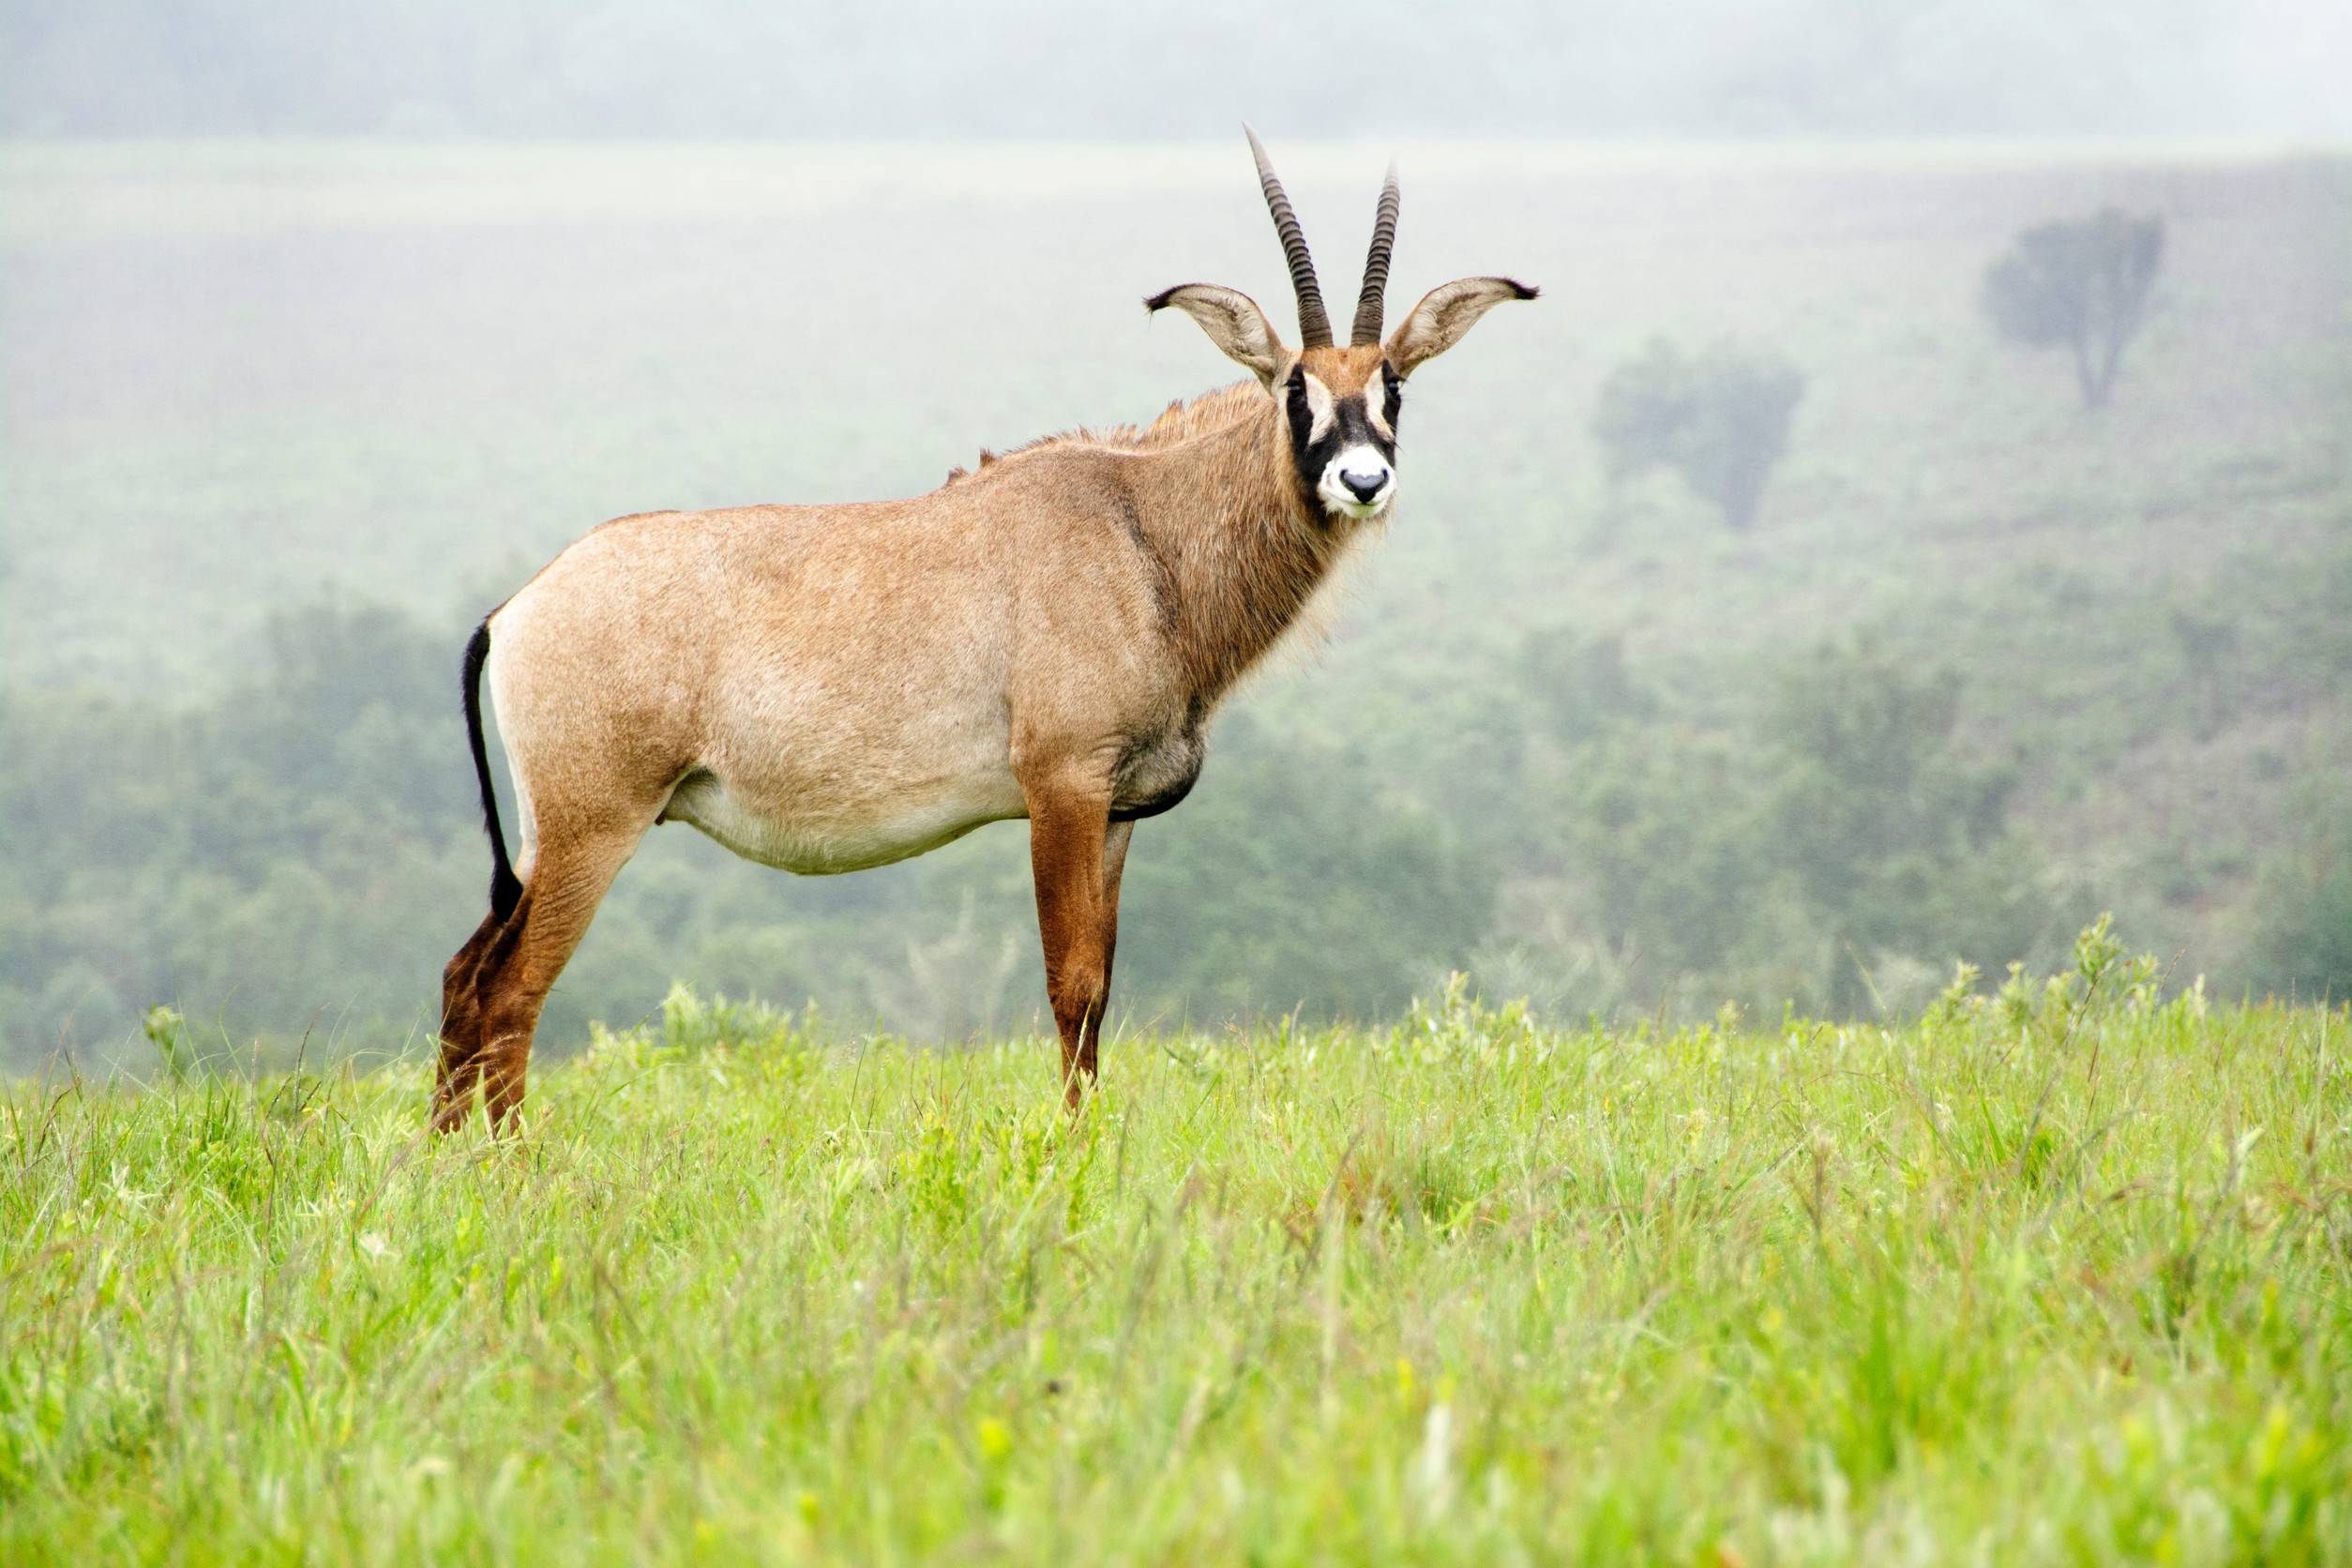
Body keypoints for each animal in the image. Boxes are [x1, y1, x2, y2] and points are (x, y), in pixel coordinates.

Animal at [434, 131, 1534, 1129]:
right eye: (1295, 388)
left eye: (1392, 386)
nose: (1362, 479)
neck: (1143, 532)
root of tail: (515, 609)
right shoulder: (1061, 786)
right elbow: (1070, 983)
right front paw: (1072, 1148)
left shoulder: (1117, 812)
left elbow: (1102, 994)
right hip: (593, 826)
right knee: (511, 991)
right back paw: (514, 1169)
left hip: (546, 841)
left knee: (464, 978)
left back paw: (448, 1166)